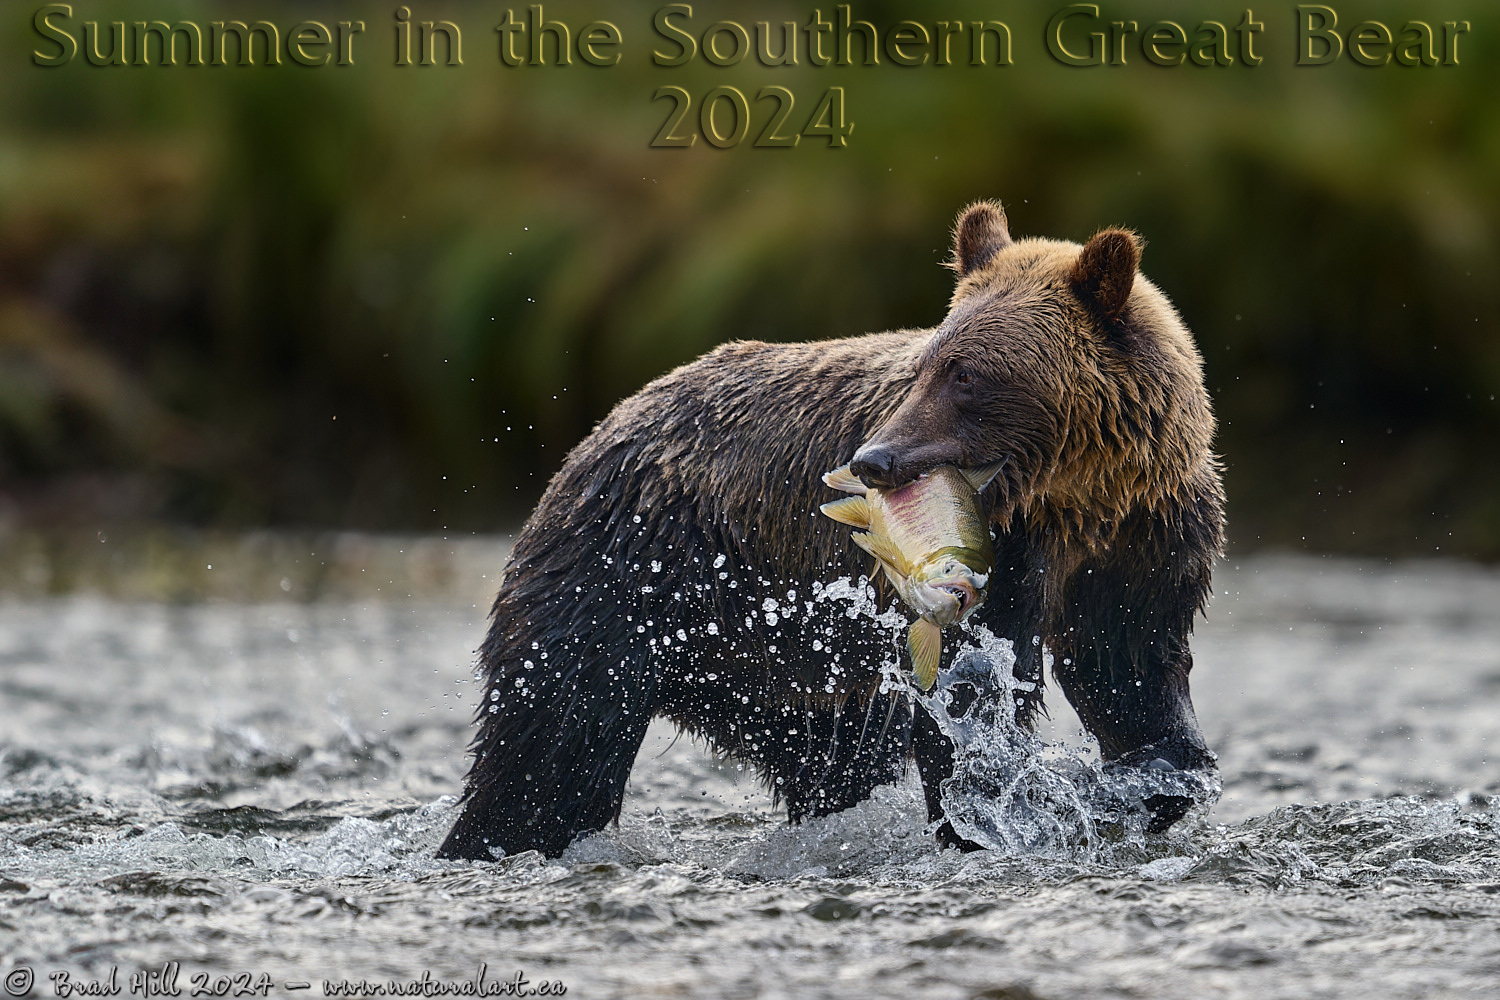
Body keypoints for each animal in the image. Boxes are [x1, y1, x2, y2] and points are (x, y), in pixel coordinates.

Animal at [435, 200, 1218, 863]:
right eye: (927, 363)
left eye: (967, 374)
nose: (875, 459)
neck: (1079, 495)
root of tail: (603, 428)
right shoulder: (1005, 557)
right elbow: (971, 693)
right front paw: (997, 809)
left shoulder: (1146, 540)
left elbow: (1129, 669)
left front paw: (1152, 779)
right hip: (629, 583)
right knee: (555, 741)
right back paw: (489, 840)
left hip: (777, 669)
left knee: (831, 758)